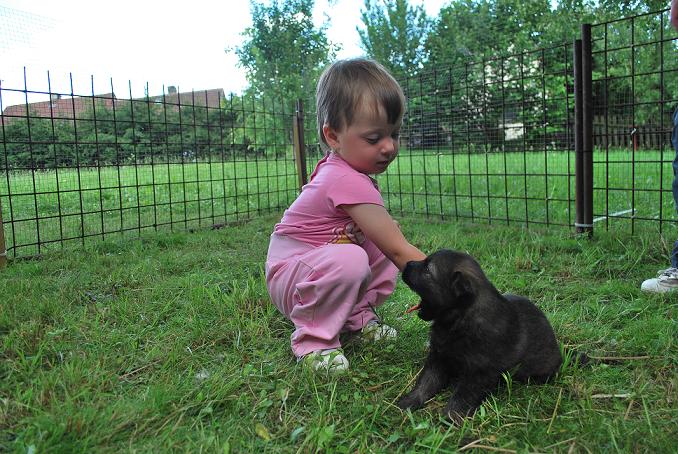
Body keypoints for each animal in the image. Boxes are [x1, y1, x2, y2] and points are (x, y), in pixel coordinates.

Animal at [398, 249, 562, 421]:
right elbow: (426, 382)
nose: (407, 264)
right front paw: (409, 401)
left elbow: (462, 395)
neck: (460, 319)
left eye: (428, 270)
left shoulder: (479, 372)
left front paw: (451, 417)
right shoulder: (438, 357)